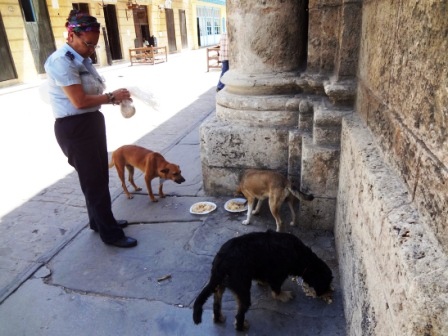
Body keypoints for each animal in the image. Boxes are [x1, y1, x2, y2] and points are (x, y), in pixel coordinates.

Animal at [192, 230, 332, 330]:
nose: (329, 293)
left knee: (216, 302)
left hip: (220, 285)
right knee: (239, 314)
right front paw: (284, 295)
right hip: (242, 289)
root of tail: (221, 263)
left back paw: (218, 317)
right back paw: (241, 327)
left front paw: (262, 282)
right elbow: (276, 289)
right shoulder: (277, 274)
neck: (303, 257)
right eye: (327, 283)